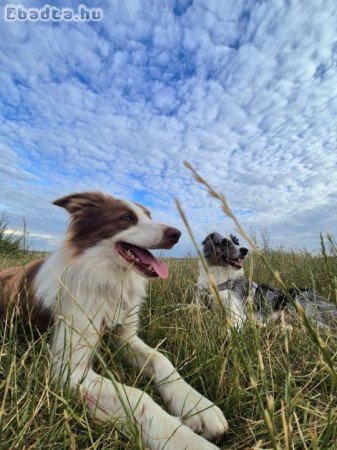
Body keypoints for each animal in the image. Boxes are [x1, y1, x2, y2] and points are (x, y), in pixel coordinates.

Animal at [0, 193, 227, 450]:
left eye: (149, 216)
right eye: (126, 218)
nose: (177, 234)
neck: (108, 279)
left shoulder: (124, 336)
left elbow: (160, 358)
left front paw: (196, 405)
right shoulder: (68, 368)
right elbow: (138, 396)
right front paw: (180, 438)